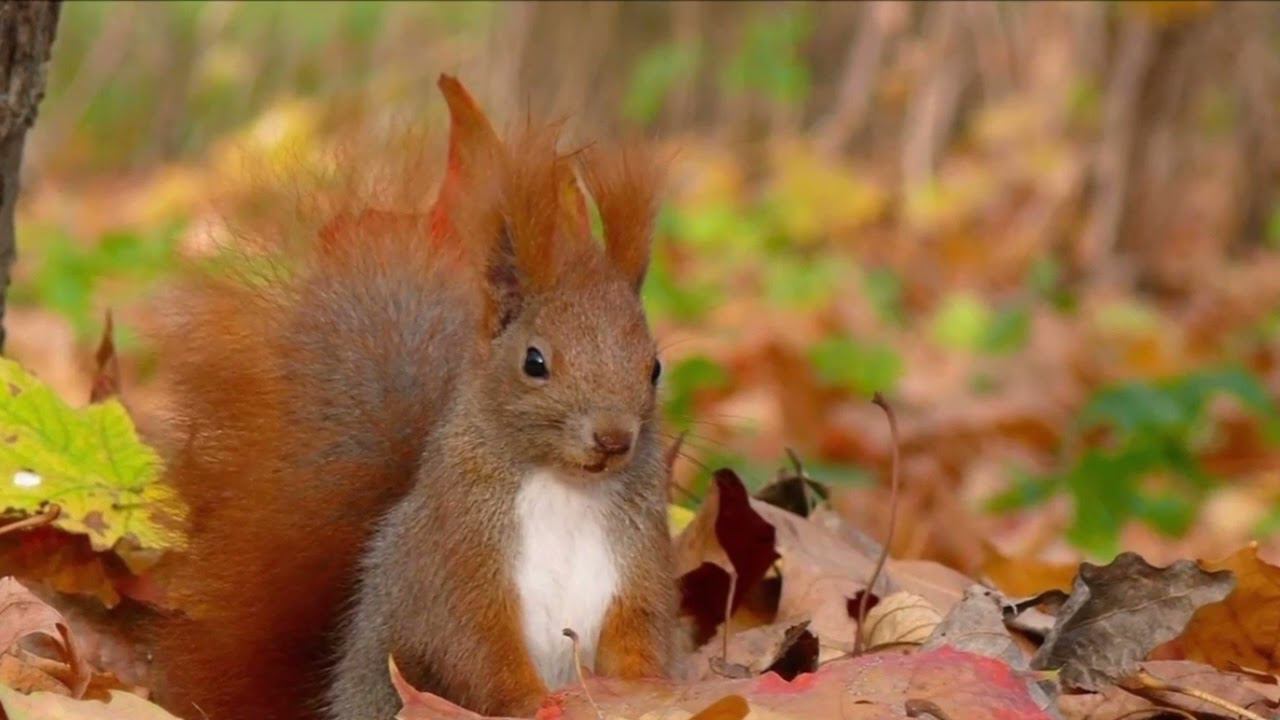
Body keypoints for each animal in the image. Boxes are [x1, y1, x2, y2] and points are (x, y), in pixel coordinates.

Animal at [151, 74, 680, 717]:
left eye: (654, 367)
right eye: (535, 362)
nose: (612, 437)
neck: (566, 488)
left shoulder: (638, 565)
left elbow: (640, 637)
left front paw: (651, 691)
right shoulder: (457, 563)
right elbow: (476, 651)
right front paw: (538, 702)